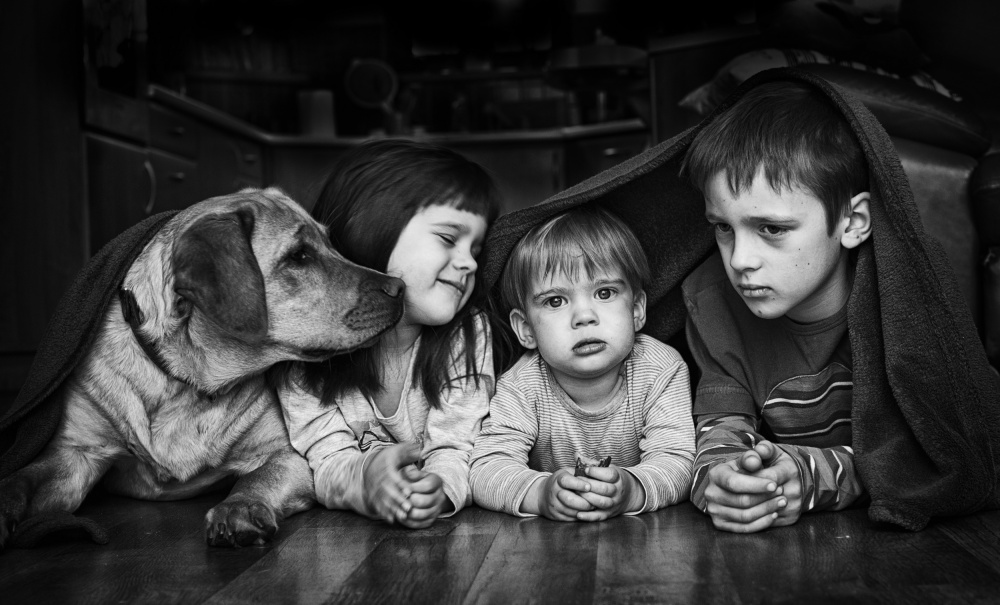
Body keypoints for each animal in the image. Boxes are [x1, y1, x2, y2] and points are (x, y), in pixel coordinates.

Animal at [0, 187, 404, 548]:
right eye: (299, 256)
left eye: (330, 244)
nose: (399, 288)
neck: (185, 380)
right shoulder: (75, 454)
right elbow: (21, 479)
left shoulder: (288, 454)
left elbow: (257, 479)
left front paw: (238, 508)